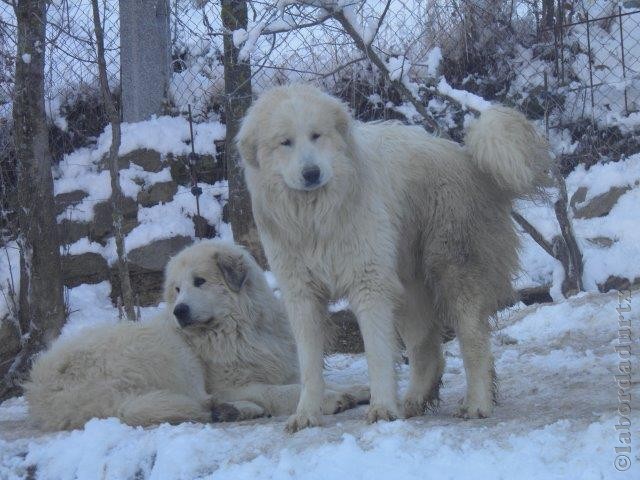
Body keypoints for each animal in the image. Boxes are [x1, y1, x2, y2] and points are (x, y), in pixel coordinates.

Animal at [25, 240, 368, 432]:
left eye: (199, 281)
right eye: (177, 289)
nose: (179, 311)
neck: (240, 328)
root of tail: (40, 392)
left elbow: (310, 382)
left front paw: (356, 390)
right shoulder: (232, 383)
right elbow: (286, 391)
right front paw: (333, 399)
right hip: (170, 356)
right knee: (194, 403)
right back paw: (230, 409)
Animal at [238, 84, 548, 434]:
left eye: (316, 135)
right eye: (285, 142)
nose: (311, 173)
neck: (316, 217)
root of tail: (468, 158)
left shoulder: (368, 284)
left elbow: (377, 354)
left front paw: (382, 409)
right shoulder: (302, 294)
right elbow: (309, 365)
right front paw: (307, 414)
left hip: (455, 271)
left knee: (474, 341)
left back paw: (477, 404)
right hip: (408, 288)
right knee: (428, 350)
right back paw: (414, 401)